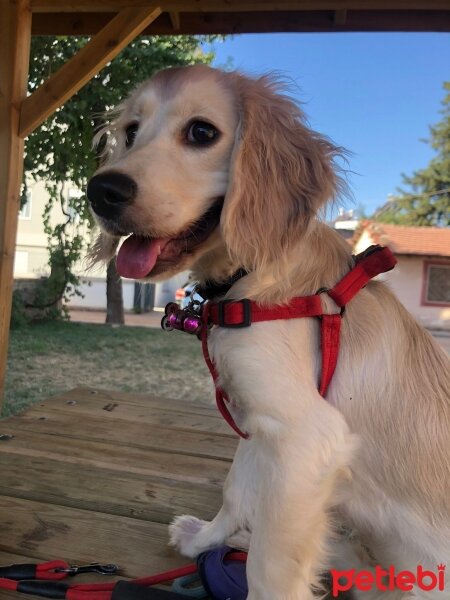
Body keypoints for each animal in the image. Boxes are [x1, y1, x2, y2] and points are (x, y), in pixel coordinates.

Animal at [86, 65, 448, 600]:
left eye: (201, 132)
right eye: (131, 132)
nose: (101, 192)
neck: (252, 279)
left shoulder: (306, 438)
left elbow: (269, 566)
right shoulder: (263, 422)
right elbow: (236, 488)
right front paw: (205, 540)